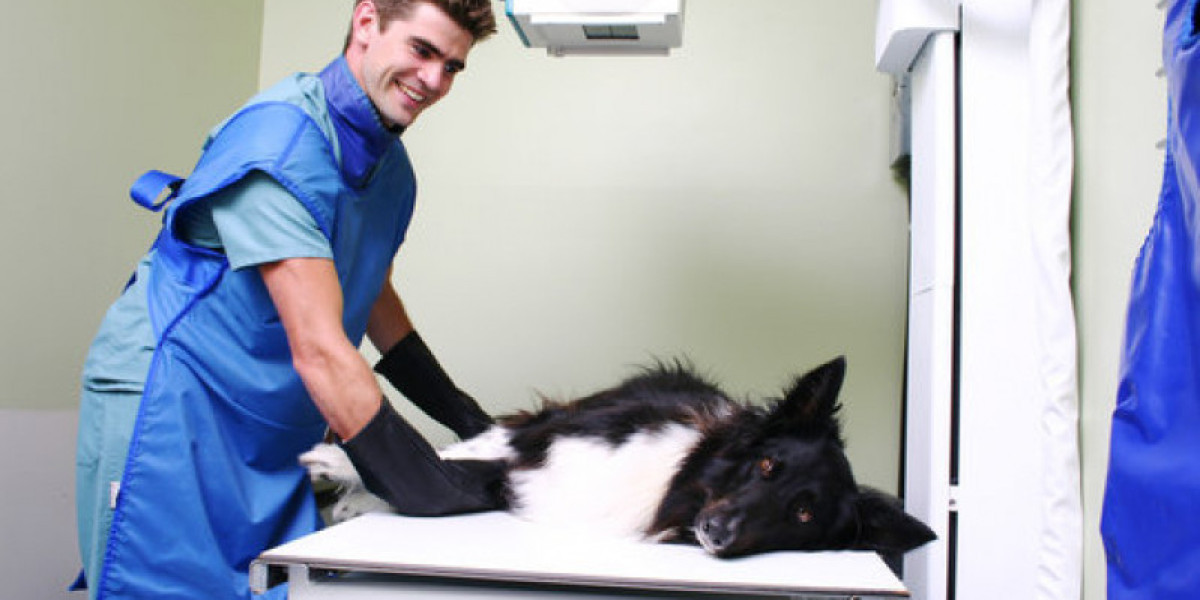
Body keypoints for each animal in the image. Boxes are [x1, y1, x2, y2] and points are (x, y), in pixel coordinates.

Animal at [302, 355, 936, 561]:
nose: (718, 531)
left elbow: (448, 480)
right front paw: (337, 465)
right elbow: (451, 458)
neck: (677, 482)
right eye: (766, 467)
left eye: (802, 514)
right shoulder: (548, 435)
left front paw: (357, 491)